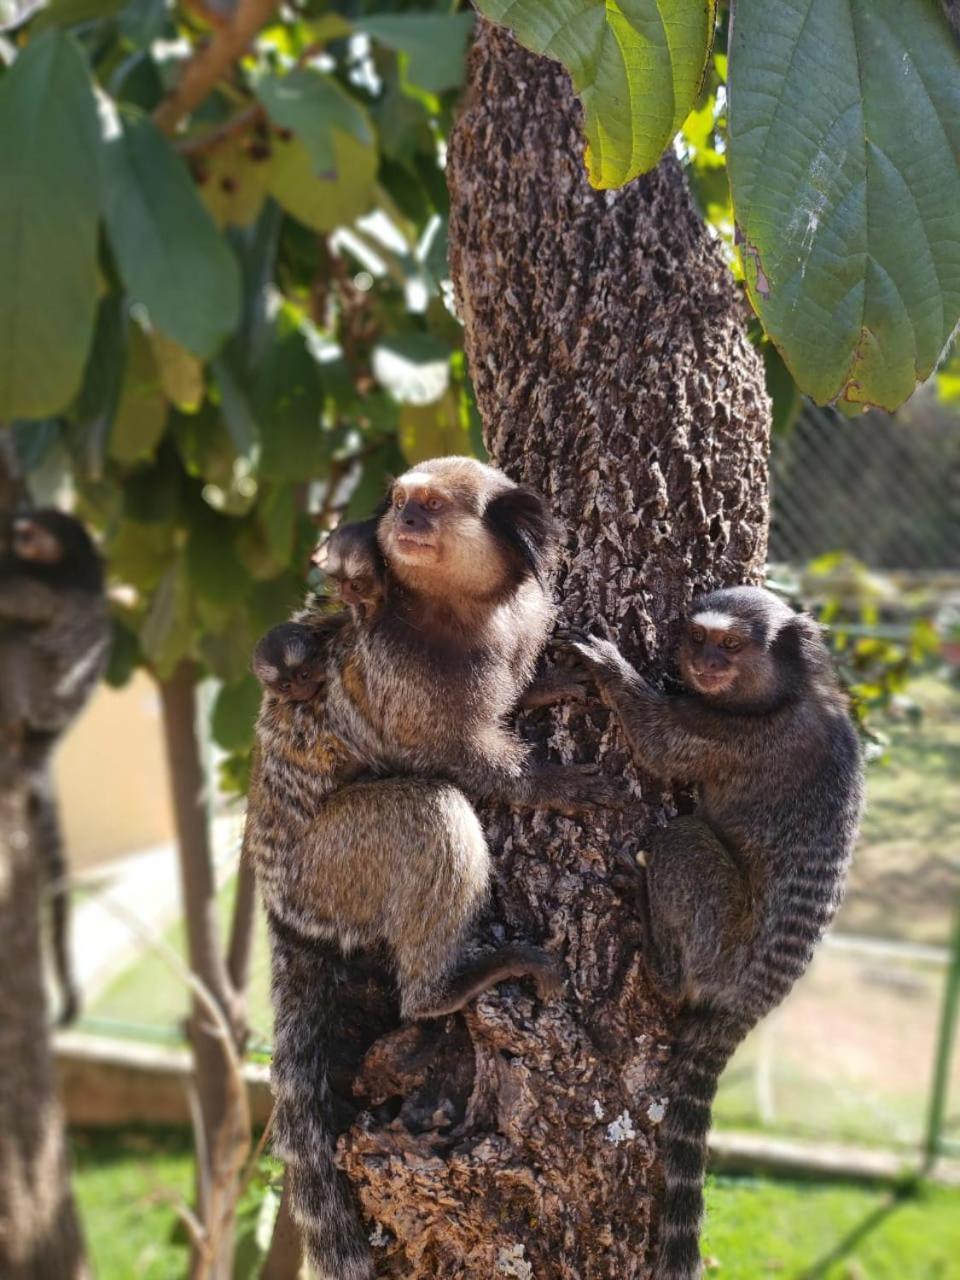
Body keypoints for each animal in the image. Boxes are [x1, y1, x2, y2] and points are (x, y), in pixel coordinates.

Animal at [248, 458, 609, 1280]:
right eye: (402, 504)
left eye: (432, 508)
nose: (405, 522)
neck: (467, 618)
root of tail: (276, 893)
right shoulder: (401, 674)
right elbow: (454, 760)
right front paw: (552, 785)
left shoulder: (527, 618)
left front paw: (540, 687)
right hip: (332, 864)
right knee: (431, 812)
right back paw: (447, 986)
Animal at [568, 586, 870, 1280]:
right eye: (698, 639)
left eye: (729, 645)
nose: (704, 662)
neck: (783, 696)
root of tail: (747, 999)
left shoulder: (738, 739)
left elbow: (659, 743)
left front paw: (612, 669)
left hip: (719, 939)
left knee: (683, 844)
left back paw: (657, 954)